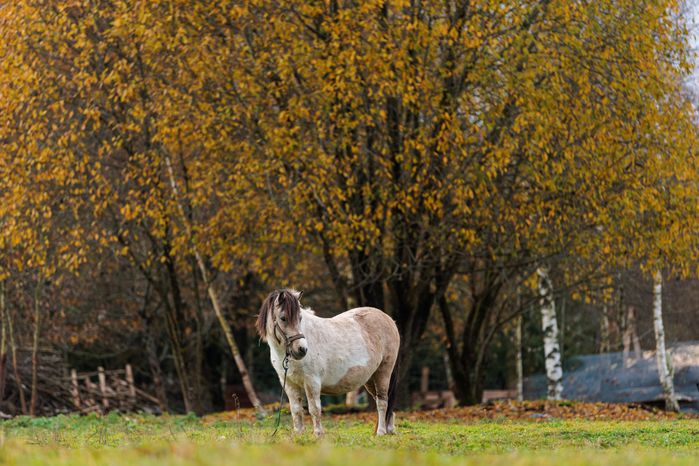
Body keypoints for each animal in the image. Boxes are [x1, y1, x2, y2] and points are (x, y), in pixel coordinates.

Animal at [256, 288, 400, 436]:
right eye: (283, 318)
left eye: (300, 318)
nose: (302, 349)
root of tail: (389, 320)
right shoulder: (290, 384)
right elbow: (296, 411)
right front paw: (299, 435)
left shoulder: (312, 382)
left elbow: (314, 409)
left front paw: (318, 434)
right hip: (370, 378)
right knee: (381, 401)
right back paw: (388, 430)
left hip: (383, 373)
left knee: (382, 402)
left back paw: (381, 432)